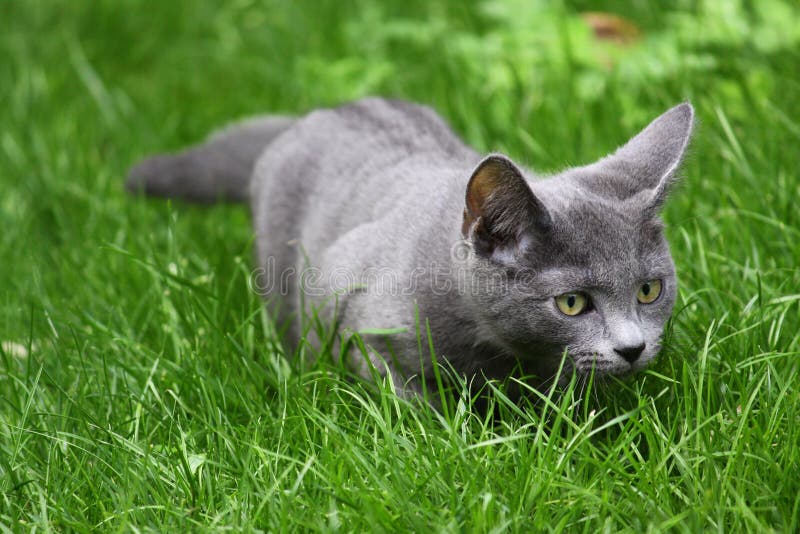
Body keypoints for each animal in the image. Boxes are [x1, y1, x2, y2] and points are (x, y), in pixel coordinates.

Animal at [126, 97, 692, 398]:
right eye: (572, 303)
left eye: (649, 290)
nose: (633, 348)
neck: (495, 352)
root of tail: (318, 114)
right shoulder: (356, 317)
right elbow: (408, 399)